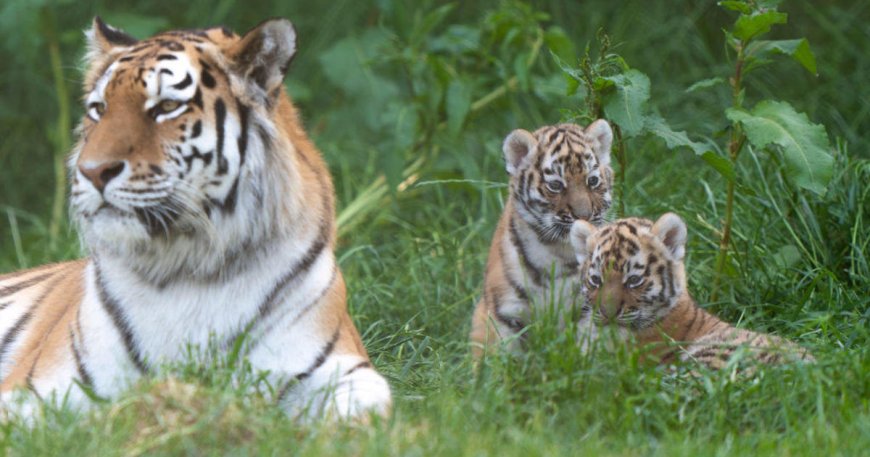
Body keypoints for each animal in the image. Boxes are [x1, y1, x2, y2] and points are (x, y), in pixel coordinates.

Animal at [0, 17, 390, 418]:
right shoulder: (34, 388)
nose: (91, 171)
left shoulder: (343, 368)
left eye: (167, 106)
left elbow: (365, 409)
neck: (188, 265)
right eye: (99, 109)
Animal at [470, 121, 612, 356]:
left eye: (592, 181)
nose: (584, 216)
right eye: (555, 185)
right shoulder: (505, 313)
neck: (558, 251)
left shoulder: (588, 308)